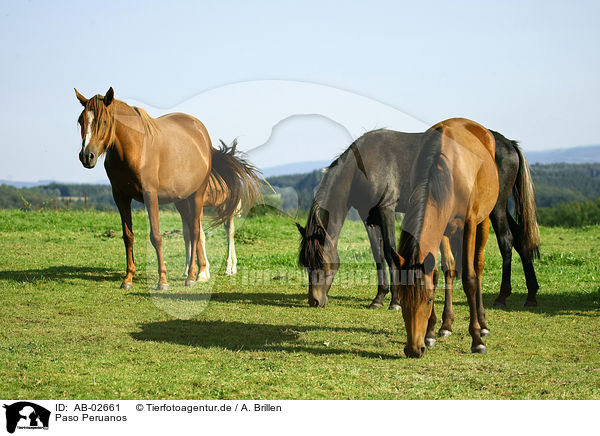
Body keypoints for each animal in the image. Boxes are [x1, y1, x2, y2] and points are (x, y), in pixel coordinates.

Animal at [75, 86, 262, 290]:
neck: (135, 148)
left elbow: (156, 237)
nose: (87, 156)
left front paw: (163, 280)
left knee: (202, 232)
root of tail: (203, 136)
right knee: (192, 233)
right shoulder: (120, 196)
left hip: (199, 197)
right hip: (183, 200)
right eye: (81, 121)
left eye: (104, 121)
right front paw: (128, 278)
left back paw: (195, 275)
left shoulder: (151, 196)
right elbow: (128, 236)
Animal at [394, 118, 502, 358]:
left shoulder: (469, 223)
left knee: (477, 267)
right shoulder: (440, 226)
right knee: (451, 269)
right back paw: (446, 325)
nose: (413, 349)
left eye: (428, 299)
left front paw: (477, 339)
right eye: (402, 300)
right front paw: (431, 333)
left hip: (483, 221)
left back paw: (483, 324)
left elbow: (470, 278)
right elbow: (439, 272)